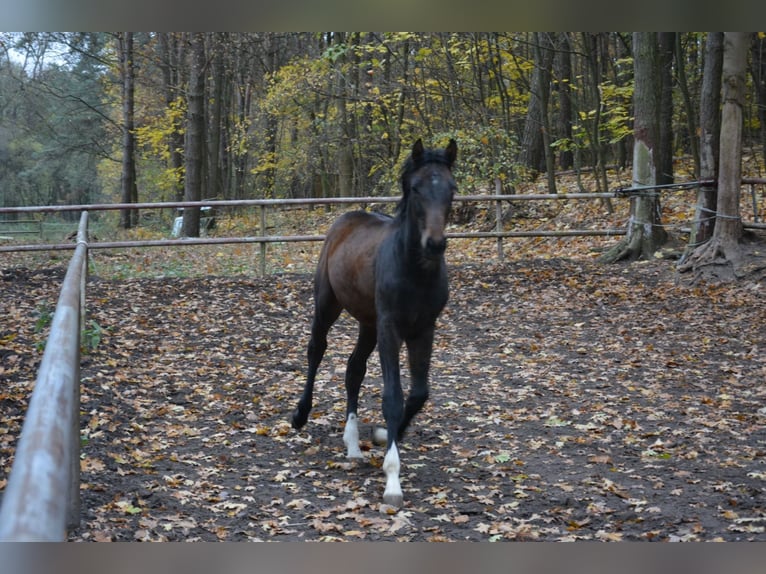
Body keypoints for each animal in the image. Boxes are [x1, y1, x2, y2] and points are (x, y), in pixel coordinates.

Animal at [288, 138, 456, 508]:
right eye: (417, 188)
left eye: (452, 188)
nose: (435, 244)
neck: (415, 270)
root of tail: (346, 218)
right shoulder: (390, 328)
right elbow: (393, 396)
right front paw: (392, 479)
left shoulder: (424, 329)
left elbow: (418, 394)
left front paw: (380, 434)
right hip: (328, 305)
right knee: (316, 350)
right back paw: (300, 414)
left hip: (368, 323)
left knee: (354, 369)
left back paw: (352, 445)